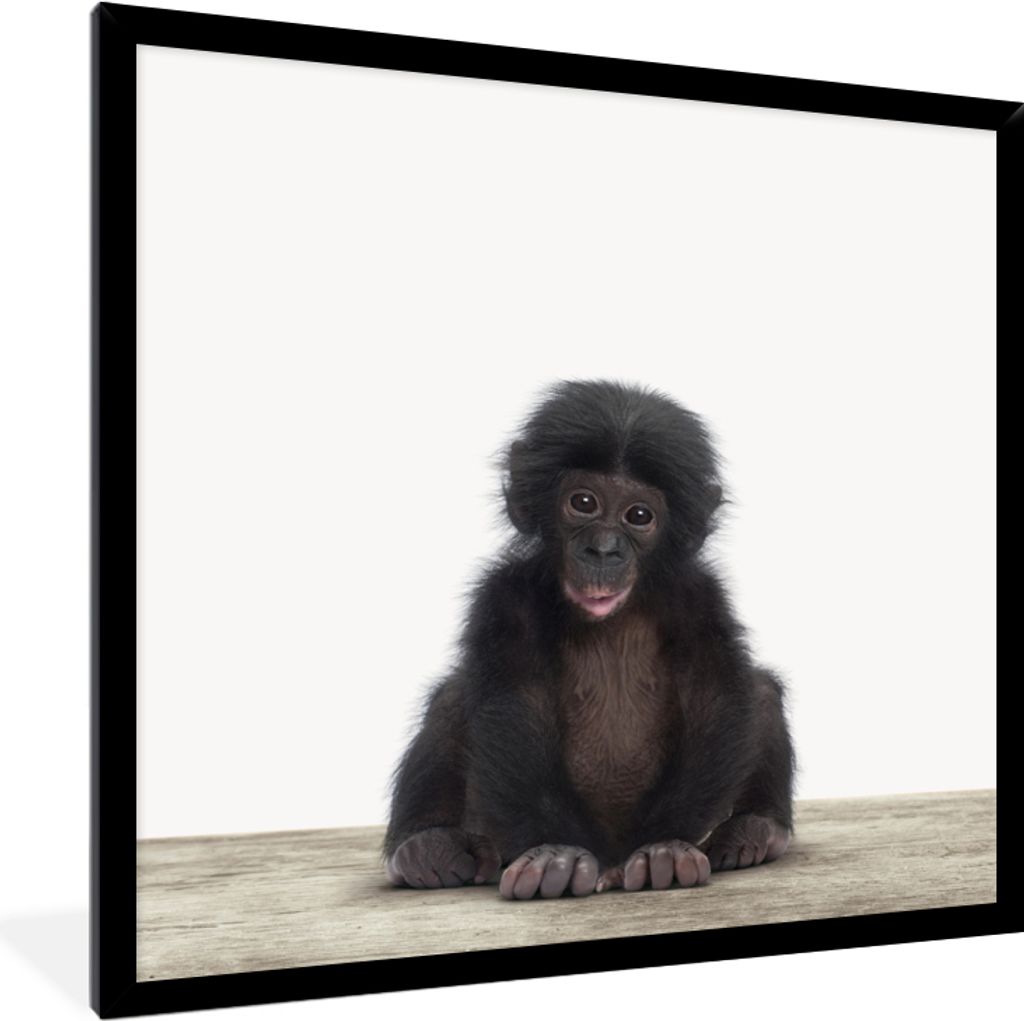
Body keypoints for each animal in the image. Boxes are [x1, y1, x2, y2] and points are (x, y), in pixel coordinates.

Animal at [383, 380, 794, 899]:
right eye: (583, 503)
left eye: (638, 515)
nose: (603, 549)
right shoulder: (505, 596)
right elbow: (514, 708)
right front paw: (553, 856)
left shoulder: (702, 599)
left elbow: (714, 702)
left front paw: (663, 850)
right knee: (452, 697)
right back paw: (424, 848)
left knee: (760, 691)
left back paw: (754, 830)